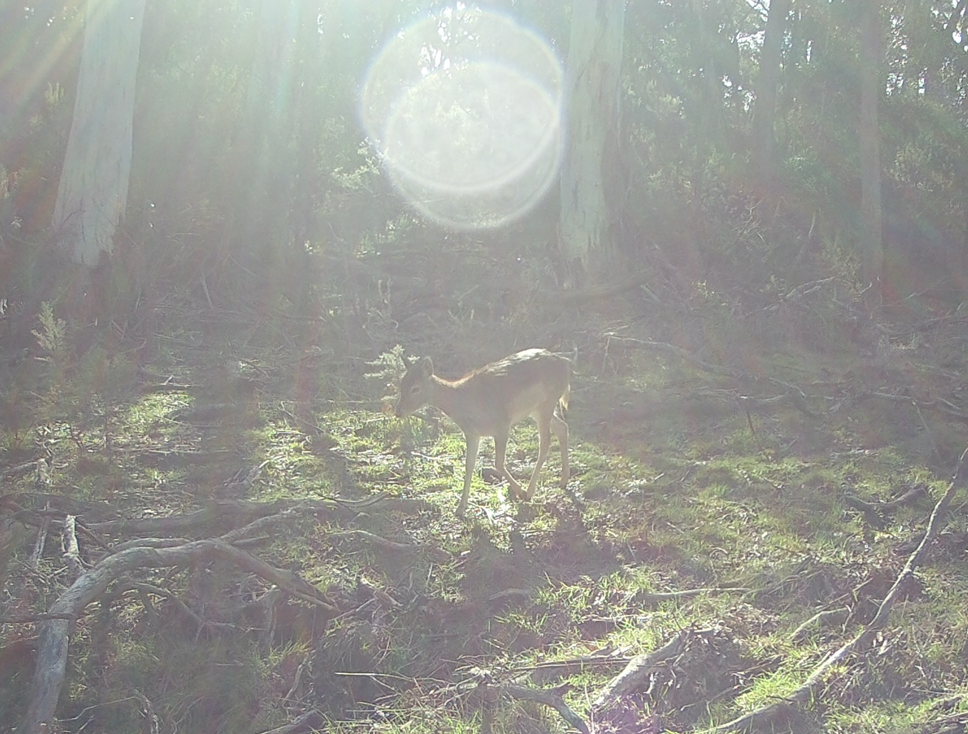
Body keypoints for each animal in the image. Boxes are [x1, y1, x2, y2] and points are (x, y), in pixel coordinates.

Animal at [395, 348, 571, 517]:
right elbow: (469, 466)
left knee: (546, 443)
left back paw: (529, 491)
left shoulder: (502, 425)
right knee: (562, 428)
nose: (398, 412)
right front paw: (460, 508)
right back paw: (563, 481)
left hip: (546, 404)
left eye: (415, 388)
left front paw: (520, 492)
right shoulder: (472, 434)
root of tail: (566, 363)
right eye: (401, 385)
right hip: (536, 409)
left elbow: (498, 463)